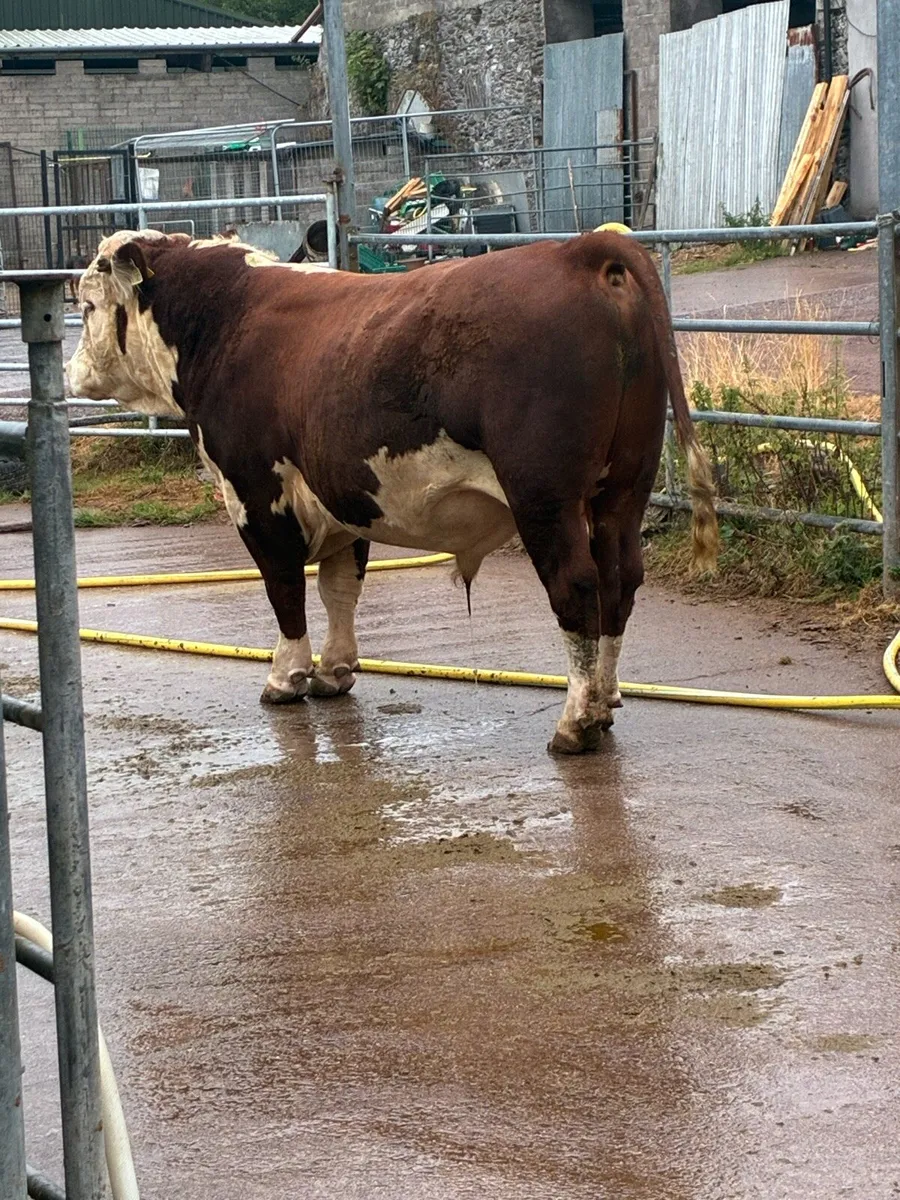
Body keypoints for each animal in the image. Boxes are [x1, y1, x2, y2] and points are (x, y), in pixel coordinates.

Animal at [66, 228, 718, 754]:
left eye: (89, 304)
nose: (71, 374)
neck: (226, 320)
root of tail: (578, 250)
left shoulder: (256, 494)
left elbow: (284, 588)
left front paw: (286, 677)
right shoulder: (342, 495)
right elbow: (340, 587)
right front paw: (334, 671)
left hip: (545, 498)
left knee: (576, 585)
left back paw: (576, 723)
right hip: (624, 487)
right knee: (619, 579)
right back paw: (605, 702)